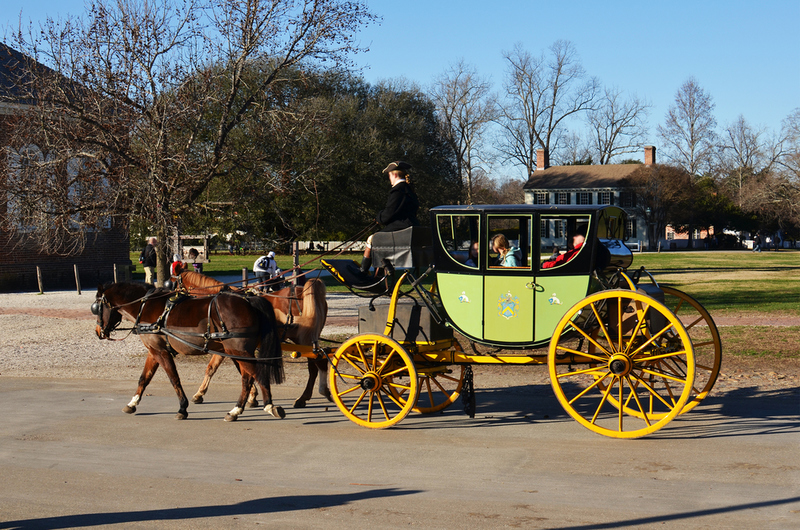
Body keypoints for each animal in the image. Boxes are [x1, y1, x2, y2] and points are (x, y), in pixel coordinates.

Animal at [92, 280, 286, 420]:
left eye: (96, 307)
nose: (98, 331)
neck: (146, 306)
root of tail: (249, 300)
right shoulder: (153, 350)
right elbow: (144, 378)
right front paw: (132, 403)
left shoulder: (161, 352)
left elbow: (174, 379)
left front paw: (182, 408)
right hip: (236, 352)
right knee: (247, 378)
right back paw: (238, 409)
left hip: (238, 351)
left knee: (256, 375)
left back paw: (267, 406)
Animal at [178, 270, 332, 406]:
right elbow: (220, 368)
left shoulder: (227, 346)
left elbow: (219, 368)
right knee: (318, 362)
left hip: (303, 338)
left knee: (315, 365)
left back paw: (308, 396)